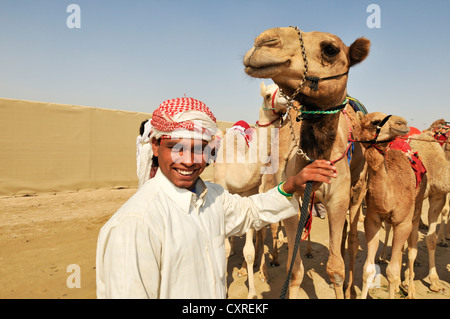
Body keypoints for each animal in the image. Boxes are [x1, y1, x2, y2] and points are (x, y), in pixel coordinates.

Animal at [214, 81, 288, 298]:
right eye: (266, 95)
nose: (286, 95)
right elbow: (226, 247)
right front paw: (225, 287)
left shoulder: (250, 195)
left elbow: (248, 251)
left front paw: (252, 292)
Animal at [244, 26, 370, 298]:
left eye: (331, 49)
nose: (263, 41)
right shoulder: (292, 196)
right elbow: (295, 271)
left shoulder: (338, 200)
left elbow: (335, 269)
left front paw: (339, 284)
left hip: (358, 190)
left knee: (351, 238)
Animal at [354, 112, 428, 300]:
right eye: (374, 122)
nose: (402, 123)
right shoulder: (372, 221)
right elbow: (367, 270)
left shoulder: (403, 223)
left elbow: (392, 272)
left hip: (416, 208)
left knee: (412, 249)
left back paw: (410, 289)